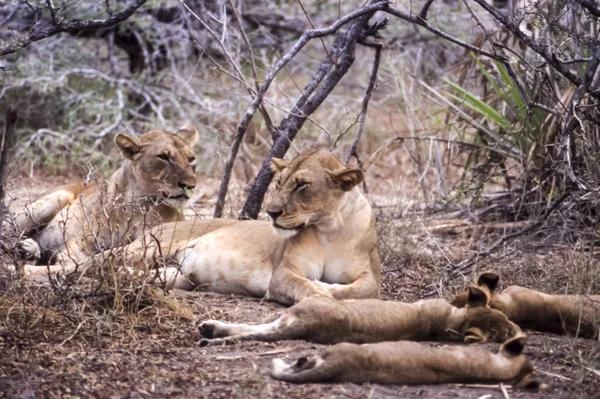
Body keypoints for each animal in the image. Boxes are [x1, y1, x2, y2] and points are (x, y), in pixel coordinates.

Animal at [14, 123, 198, 280]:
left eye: (191, 159)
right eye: (163, 157)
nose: (191, 185)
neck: (138, 204)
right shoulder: (83, 238)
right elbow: (76, 255)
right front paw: (63, 261)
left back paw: (30, 248)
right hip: (51, 201)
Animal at [45, 148, 380, 304]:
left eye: (302, 185)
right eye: (279, 183)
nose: (271, 212)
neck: (329, 228)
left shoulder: (369, 275)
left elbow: (363, 289)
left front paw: (333, 288)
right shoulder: (284, 273)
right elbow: (310, 288)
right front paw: (324, 292)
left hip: (175, 275)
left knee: (116, 269)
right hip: (148, 248)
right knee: (87, 263)